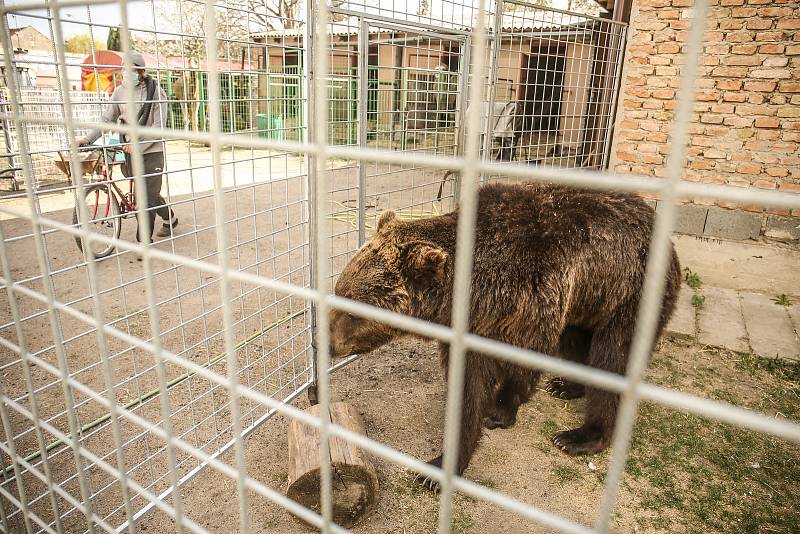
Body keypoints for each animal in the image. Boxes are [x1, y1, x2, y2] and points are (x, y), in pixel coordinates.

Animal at [328, 182, 680, 492]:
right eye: (339, 290)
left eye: (353, 309)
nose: (327, 343)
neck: (479, 292)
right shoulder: (470, 329)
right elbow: (468, 388)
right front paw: (441, 465)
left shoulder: (534, 299)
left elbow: (523, 364)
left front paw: (499, 411)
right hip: (587, 302)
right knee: (576, 342)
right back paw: (566, 385)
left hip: (629, 294)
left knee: (613, 358)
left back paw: (580, 436)